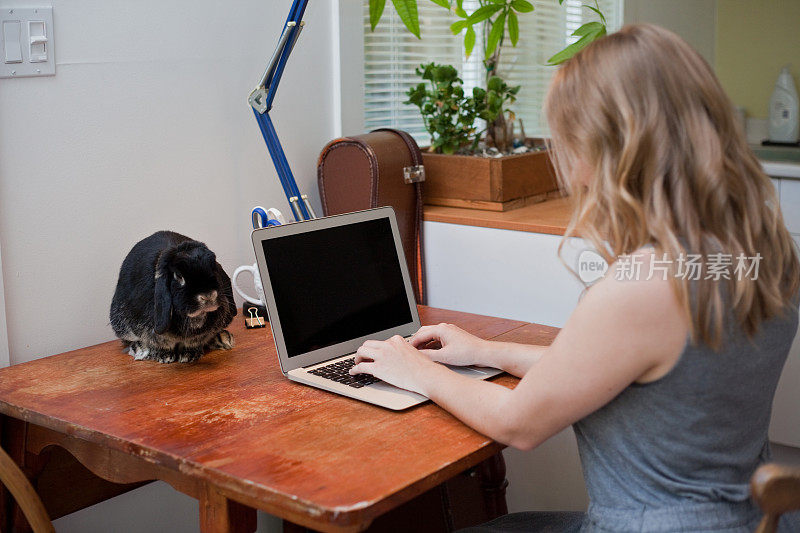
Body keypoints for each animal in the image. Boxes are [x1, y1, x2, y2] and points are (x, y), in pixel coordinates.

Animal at [111, 231, 238, 364]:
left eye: (213, 268)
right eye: (178, 276)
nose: (207, 296)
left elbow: (195, 341)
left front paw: (189, 355)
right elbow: (158, 343)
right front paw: (164, 356)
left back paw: (223, 338)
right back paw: (140, 348)